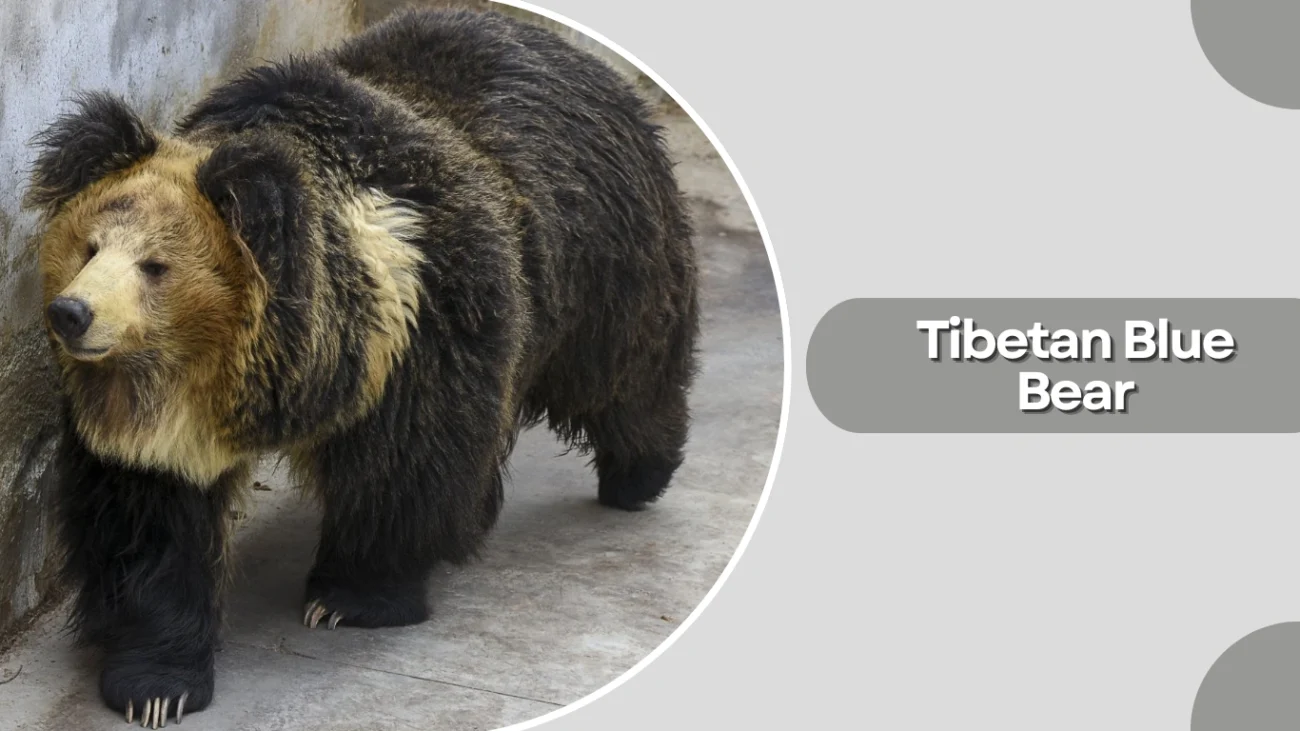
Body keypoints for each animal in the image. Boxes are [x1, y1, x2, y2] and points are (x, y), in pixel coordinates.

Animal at [24, 9, 698, 725]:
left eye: (155, 265)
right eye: (90, 247)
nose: (71, 313)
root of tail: (578, 59)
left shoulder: (427, 329)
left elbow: (405, 470)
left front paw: (351, 596)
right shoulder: (153, 425)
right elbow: (147, 520)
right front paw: (155, 683)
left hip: (605, 261)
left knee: (626, 375)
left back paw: (638, 476)